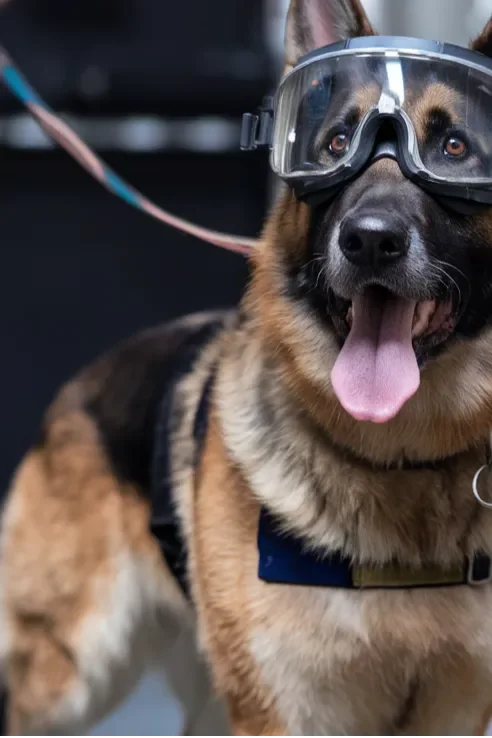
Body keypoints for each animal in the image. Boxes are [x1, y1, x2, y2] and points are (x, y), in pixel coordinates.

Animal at [3, 1, 492, 732]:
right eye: (335, 145)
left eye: (455, 150)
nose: (369, 241)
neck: (402, 464)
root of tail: (78, 385)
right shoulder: (284, 712)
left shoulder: (453, 711)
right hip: (66, 676)